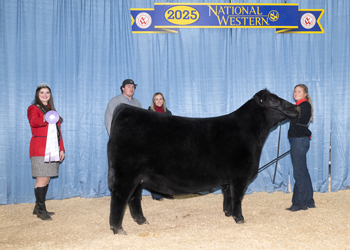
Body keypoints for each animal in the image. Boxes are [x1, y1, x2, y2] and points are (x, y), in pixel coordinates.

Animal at [106, 90, 298, 234]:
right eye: (275, 100)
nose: (296, 108)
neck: (250, 132)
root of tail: (124, 109)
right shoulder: (239, 176)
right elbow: (237, 197)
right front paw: (239, 219)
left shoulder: (228, 179)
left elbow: (228, 196)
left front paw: (228, 214)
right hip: (126, 174)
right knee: (120, 197)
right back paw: (118, 229)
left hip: (137, 177)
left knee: (134, 198)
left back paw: (142, 221)